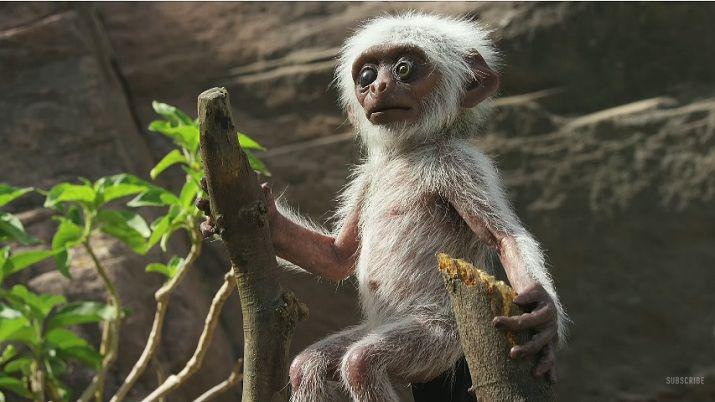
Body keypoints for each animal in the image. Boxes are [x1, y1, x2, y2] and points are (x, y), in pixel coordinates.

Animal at [200, 12, 567, 402]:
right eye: (366, 75)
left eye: (405, 69)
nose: (378, 86)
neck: (406, 154)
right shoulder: (368, 176)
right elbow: (337, 255)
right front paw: (259, 212)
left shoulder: (460, 164)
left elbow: (504, 236)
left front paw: (543, 309)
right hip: (377, 329)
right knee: (309, 365)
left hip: (439, 337)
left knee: (362, 362)